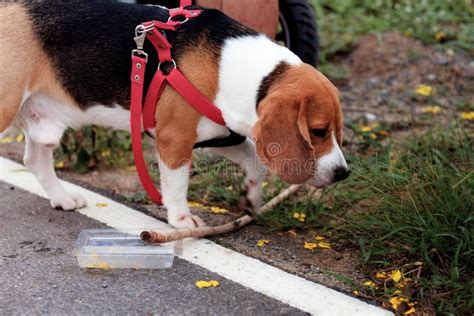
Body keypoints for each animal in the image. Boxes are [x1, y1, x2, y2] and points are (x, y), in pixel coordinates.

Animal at [0, 1, 348, 228]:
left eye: (337, 131)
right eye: (317, 131)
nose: (342, 174)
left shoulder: (220, 135)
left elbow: (255, 162)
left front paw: (251, 198)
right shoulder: (174, 140)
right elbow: (177, 186)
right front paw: (181, 220)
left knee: (35, 159)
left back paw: (62, 198)